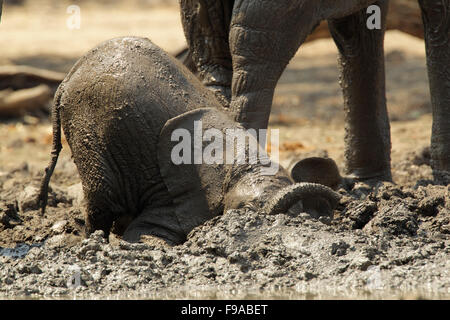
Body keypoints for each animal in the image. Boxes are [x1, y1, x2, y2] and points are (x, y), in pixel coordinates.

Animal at [39, 36, 342, 244]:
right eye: (246, 212)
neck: (239, 168)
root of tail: (67, 78)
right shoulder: (187, 193)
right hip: (86, 123)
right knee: (101, 194)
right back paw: (92, 239)